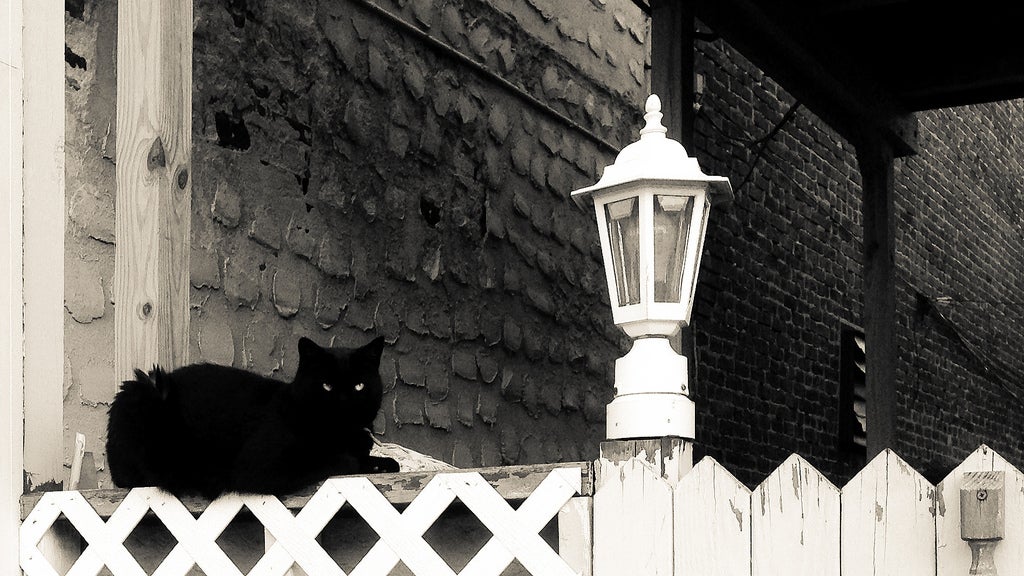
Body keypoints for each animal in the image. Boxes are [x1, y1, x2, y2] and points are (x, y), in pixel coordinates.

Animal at [104, 334, 399, 496]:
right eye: (327, 385)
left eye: (359, 385)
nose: (344, 403)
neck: (340, 434)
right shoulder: (260, 468)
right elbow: (340, 460)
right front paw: (359, 461)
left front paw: (384, 464)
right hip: (148, 392)